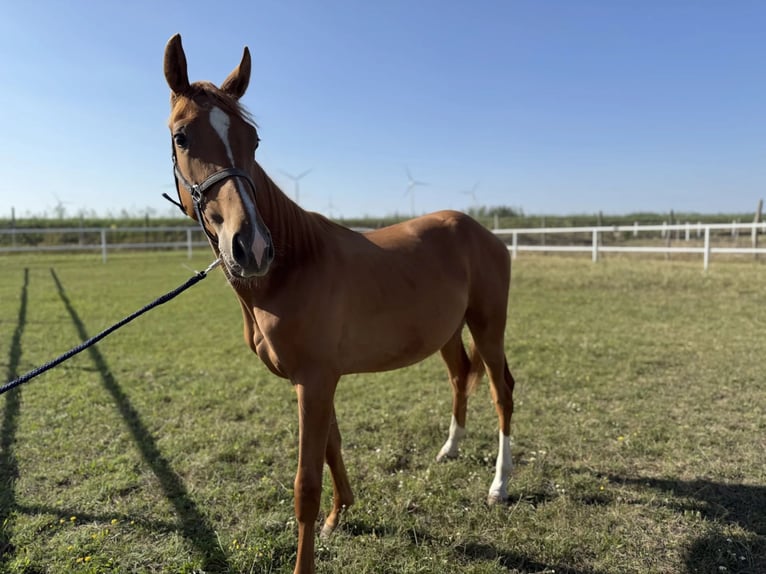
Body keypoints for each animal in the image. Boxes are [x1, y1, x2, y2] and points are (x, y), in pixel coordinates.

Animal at [163, 33, 516, 574]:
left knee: (502, 392)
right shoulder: (313, 380)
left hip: (488, 326)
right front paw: (340, 514)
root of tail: (483, 232)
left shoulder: (315, 379)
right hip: (449, 332)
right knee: (460, 377)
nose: (251, 247)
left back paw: (499, 485)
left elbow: (306, 482)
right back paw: (449, 450)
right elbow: (332, 446)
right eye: (182, 137)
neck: (294, 266)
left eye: (253, 139)